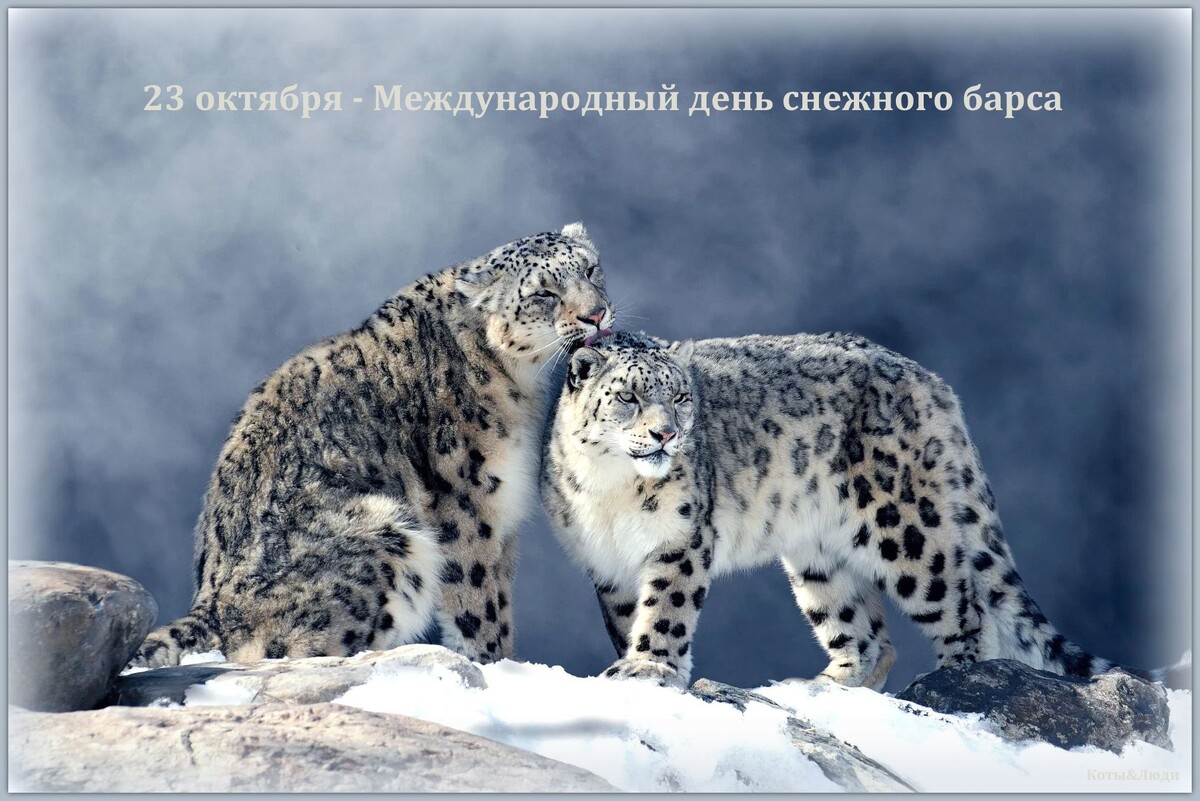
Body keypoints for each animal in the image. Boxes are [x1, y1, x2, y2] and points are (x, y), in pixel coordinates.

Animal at [130, 223, 614, 668]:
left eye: (591, 269)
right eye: (543, 293)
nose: (596, 314)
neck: (520, 380)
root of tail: (209, 605)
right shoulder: (468, 507)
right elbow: (482, 603)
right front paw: (499, 666)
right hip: (384, 533)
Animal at [540, 330, 1170, 691]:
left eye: (680, 396)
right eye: (628, 396)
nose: (666, 434)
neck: (612, 492)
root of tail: (930, 381)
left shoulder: (679, 540)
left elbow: (666, 609)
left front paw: (648, 667)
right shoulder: (606, 565)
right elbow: (629, 617)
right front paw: (634, 662)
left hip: (908, 529)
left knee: (964, 605)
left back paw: (956, 681)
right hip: (818, 556)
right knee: (866, 634)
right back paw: (822, 686)